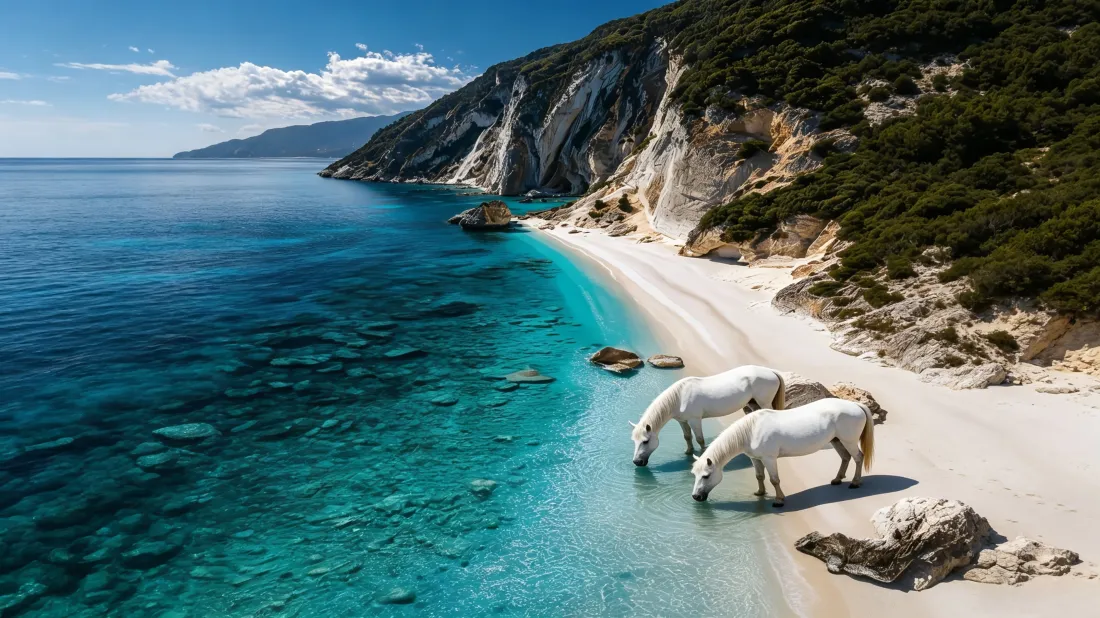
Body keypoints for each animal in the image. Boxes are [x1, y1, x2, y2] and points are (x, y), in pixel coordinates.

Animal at [629, 365, 786, 466]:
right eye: (634, 441)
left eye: (645, 441)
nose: (637, 462)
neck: (680, 397)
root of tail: (771, 371)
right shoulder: (682, 421)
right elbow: (687, 436)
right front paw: (688, 451)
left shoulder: (695, 420)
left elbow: (700, 439)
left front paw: (703, 453)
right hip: (753, 403)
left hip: (764, 402)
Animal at [690, 398, 874, 507]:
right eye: (694, 475)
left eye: (706, 476)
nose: (696, 497)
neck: (751, 430)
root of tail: (855, 405)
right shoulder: (756, 459)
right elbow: (759, 476)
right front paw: (760, 493)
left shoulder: (769, 459)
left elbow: (774, 479)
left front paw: (779, 500)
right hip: (837, 441)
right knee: (845, 457)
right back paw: (837, 479)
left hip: (848, 441)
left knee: (858, 458)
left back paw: (855, 482)